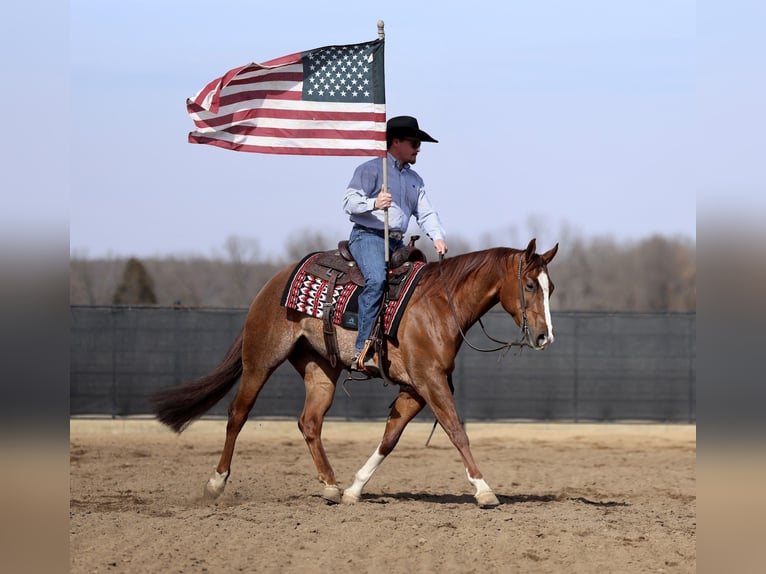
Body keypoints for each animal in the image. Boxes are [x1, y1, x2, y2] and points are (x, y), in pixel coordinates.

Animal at [152, 238, 558, 508]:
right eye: (528, 284)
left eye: (550, 287)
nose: (544, 337)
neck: (440, 304)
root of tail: (272, 284)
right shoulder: (430, 382)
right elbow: (457, 431)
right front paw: (484, 489)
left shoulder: (414, 389)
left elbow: (389, 439)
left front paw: (354, 489)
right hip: (260, 360)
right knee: (238, 414)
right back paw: (216, 483)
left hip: (320, 371)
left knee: (310, 422)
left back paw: (331, 486)